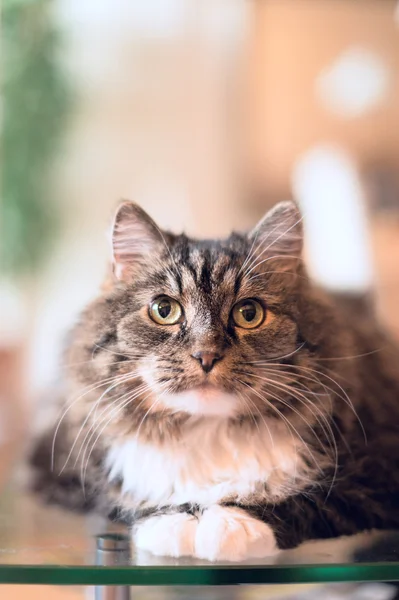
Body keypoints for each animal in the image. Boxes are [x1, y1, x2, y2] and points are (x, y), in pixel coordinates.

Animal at [29, 202, 399, 564]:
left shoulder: (375, 476)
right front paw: (176, 521)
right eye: (164, 309)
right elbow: (122, 502)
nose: (205, 355)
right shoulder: (60, 475)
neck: (206, 430)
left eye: (249, 314)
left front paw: (231, 524)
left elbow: (313, 499)